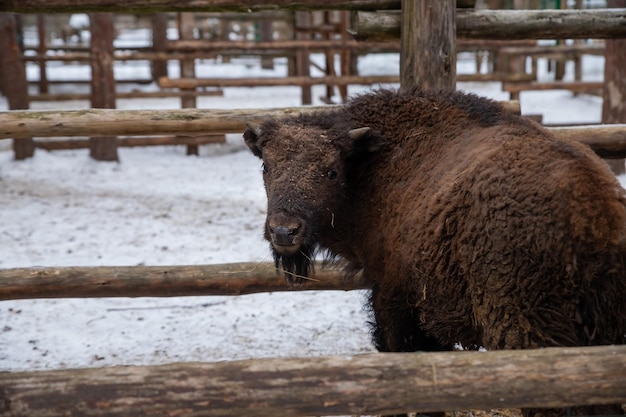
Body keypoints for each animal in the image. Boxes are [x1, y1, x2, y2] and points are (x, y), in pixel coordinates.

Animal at [243, 88, 624, 416]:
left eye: (331, 171)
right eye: (266, 167)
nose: (284, 231)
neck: (370, 169)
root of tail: (596, 211)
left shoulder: (395, 301)